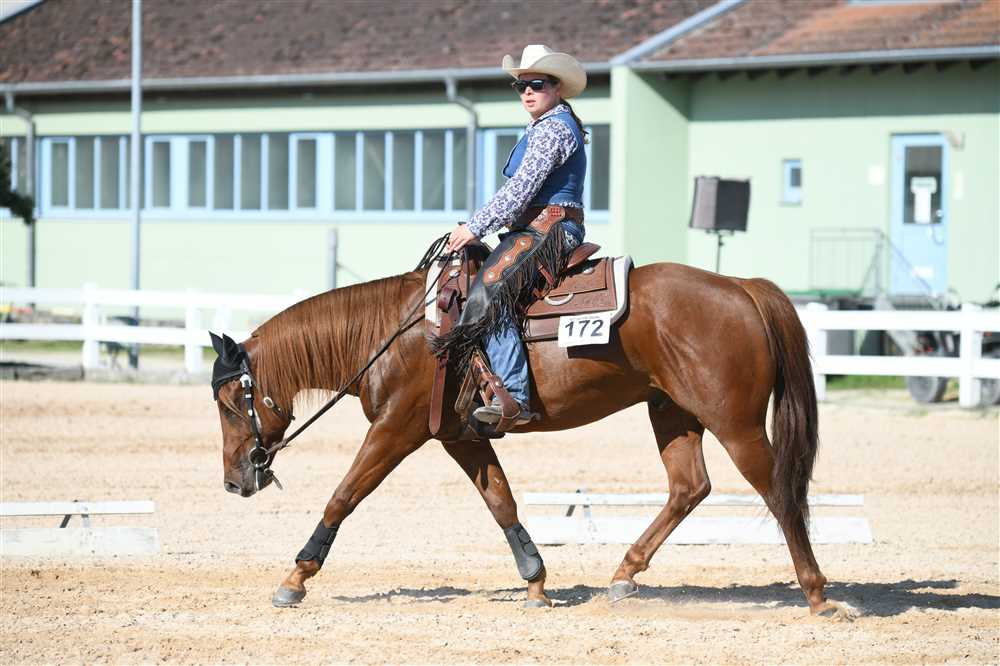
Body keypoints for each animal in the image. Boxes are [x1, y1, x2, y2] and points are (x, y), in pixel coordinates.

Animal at [210, 258, 846, 617]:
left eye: (228, 402)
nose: (236, 480)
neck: (395, 333)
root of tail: (741, 287)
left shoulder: (397, 429)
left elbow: (342, 496)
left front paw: (294, 578)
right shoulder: (459, 436)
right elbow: (502, 502)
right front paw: (536, 583)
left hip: (735, 422)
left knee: (777, 491)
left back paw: (817, 594)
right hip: (672, 411)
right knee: (689, 487)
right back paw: (623, 576)